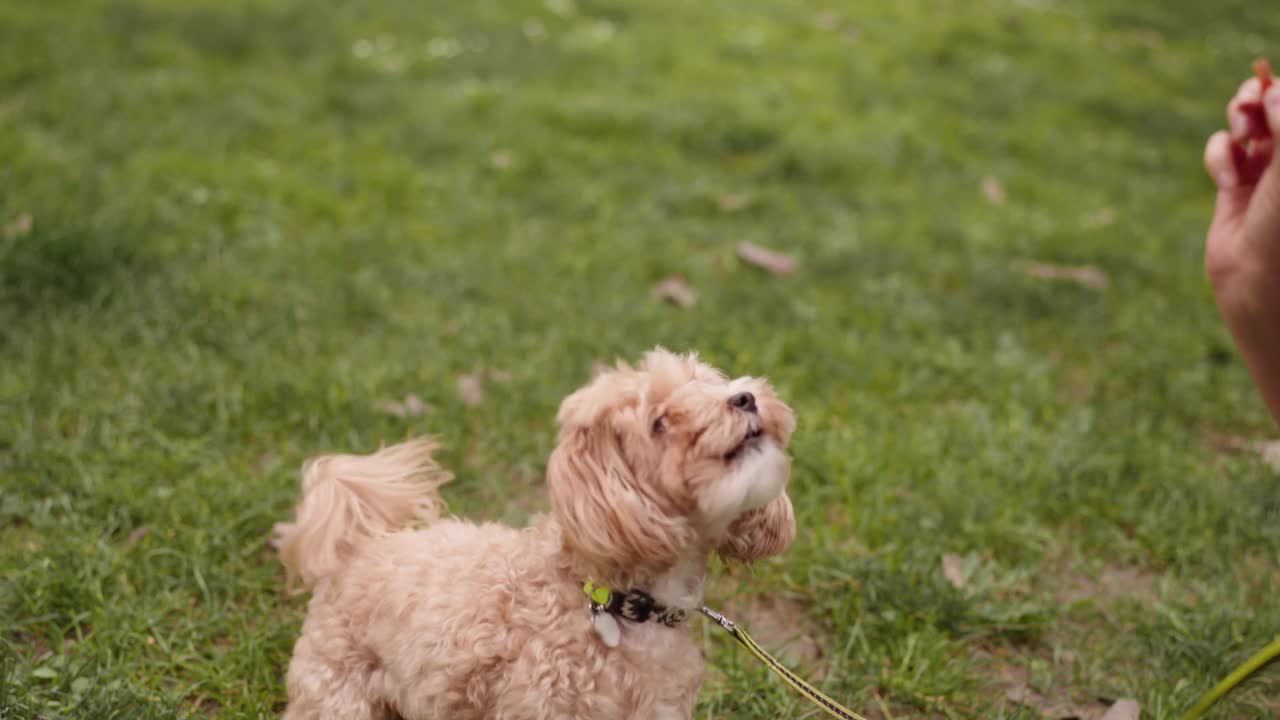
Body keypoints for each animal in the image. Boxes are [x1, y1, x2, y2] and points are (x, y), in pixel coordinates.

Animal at [275, 345, 793, 712]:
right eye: (660, 421)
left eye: (710, 383)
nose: (745, 397)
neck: (614, 601)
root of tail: (353, 548)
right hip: (338, 691)